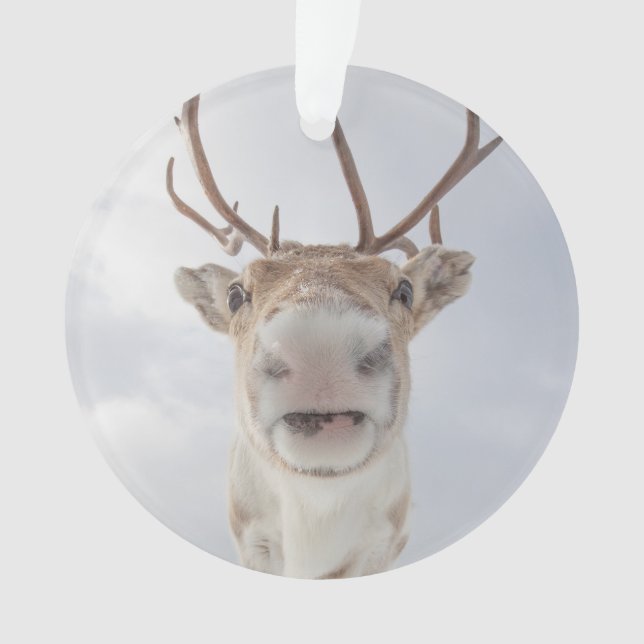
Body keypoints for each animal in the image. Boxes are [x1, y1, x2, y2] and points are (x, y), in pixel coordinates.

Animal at [166, 95, 502, 578]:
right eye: (235, 294)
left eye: (404, 290)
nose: (319, 348)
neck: (314, 524)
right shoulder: (251, 538)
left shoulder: (384, 545)